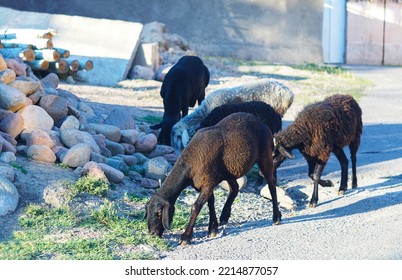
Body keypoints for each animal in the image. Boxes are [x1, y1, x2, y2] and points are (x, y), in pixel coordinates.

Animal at [145, 112, 282, 244]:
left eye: (159, 213)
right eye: (148, 212)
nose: (152, 233)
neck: (189, 165)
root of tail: (264, 125)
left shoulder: (208, 182)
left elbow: (196, 206)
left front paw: (186, 237)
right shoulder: (207, 183)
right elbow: (210, 202)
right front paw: (213, 228)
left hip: (265, 156)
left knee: (271, 184)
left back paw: (276, 217)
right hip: (228, 171)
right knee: (235, 188)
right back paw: (224, 216)